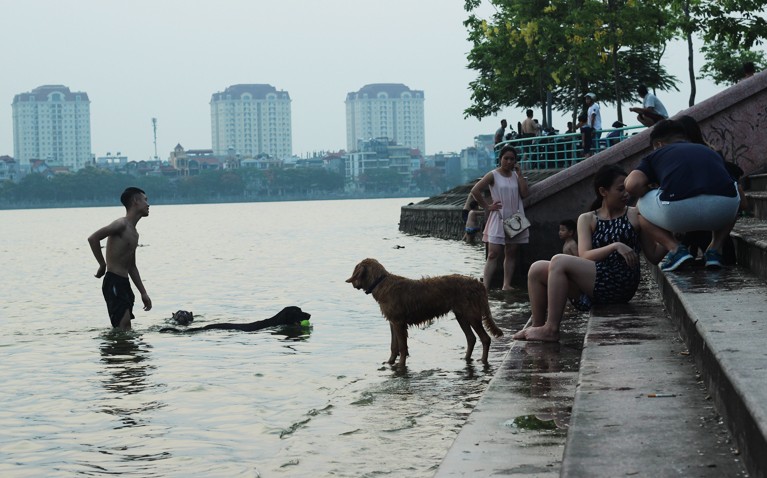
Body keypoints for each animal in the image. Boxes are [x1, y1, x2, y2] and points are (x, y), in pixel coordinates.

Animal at [346, 260, 504, 368]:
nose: (352, 283)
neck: (380, 283)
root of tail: (479, 284)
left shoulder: (399, 323)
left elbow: (402, 347)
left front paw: (400, 365)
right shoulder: (393, 322)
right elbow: (394, 346)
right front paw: (390, 362)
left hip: (471, 315)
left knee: (485, 338)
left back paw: (483, 361)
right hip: (461, 316)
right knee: (471, 338)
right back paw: (466, 359)